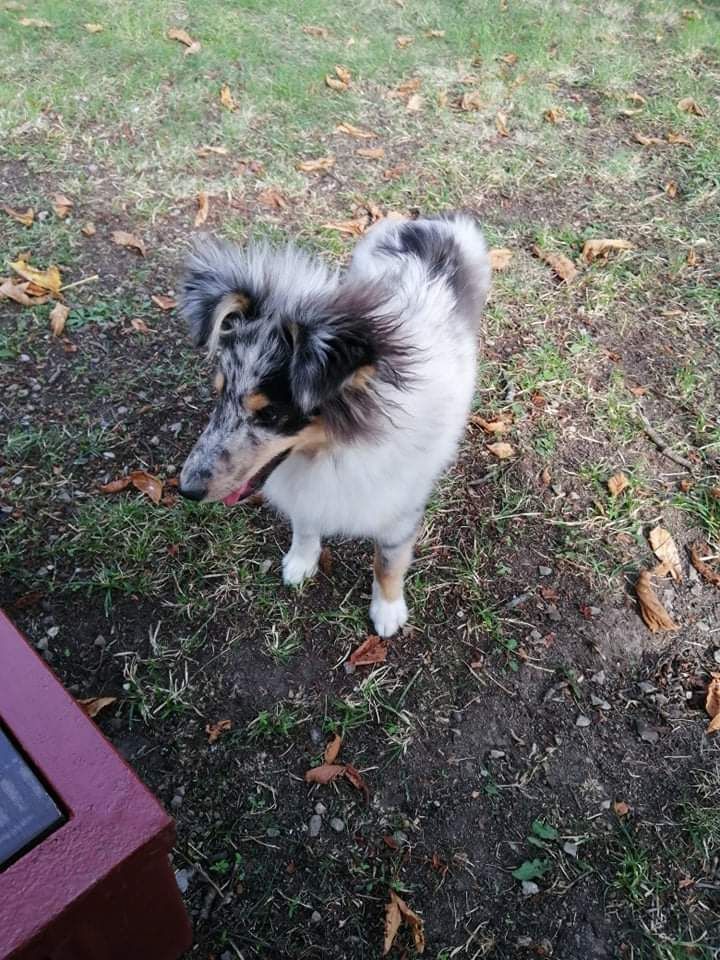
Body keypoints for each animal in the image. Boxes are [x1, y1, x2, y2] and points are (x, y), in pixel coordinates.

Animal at [178, 213, 490, 636]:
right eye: (219, 394)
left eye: (270, 414)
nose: (186, 490)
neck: (333, 448)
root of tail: (428, 222)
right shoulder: (309, 489)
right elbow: (305, 522)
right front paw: (301, 562)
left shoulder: (399, 511)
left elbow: (388, 561)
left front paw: (387, 610)